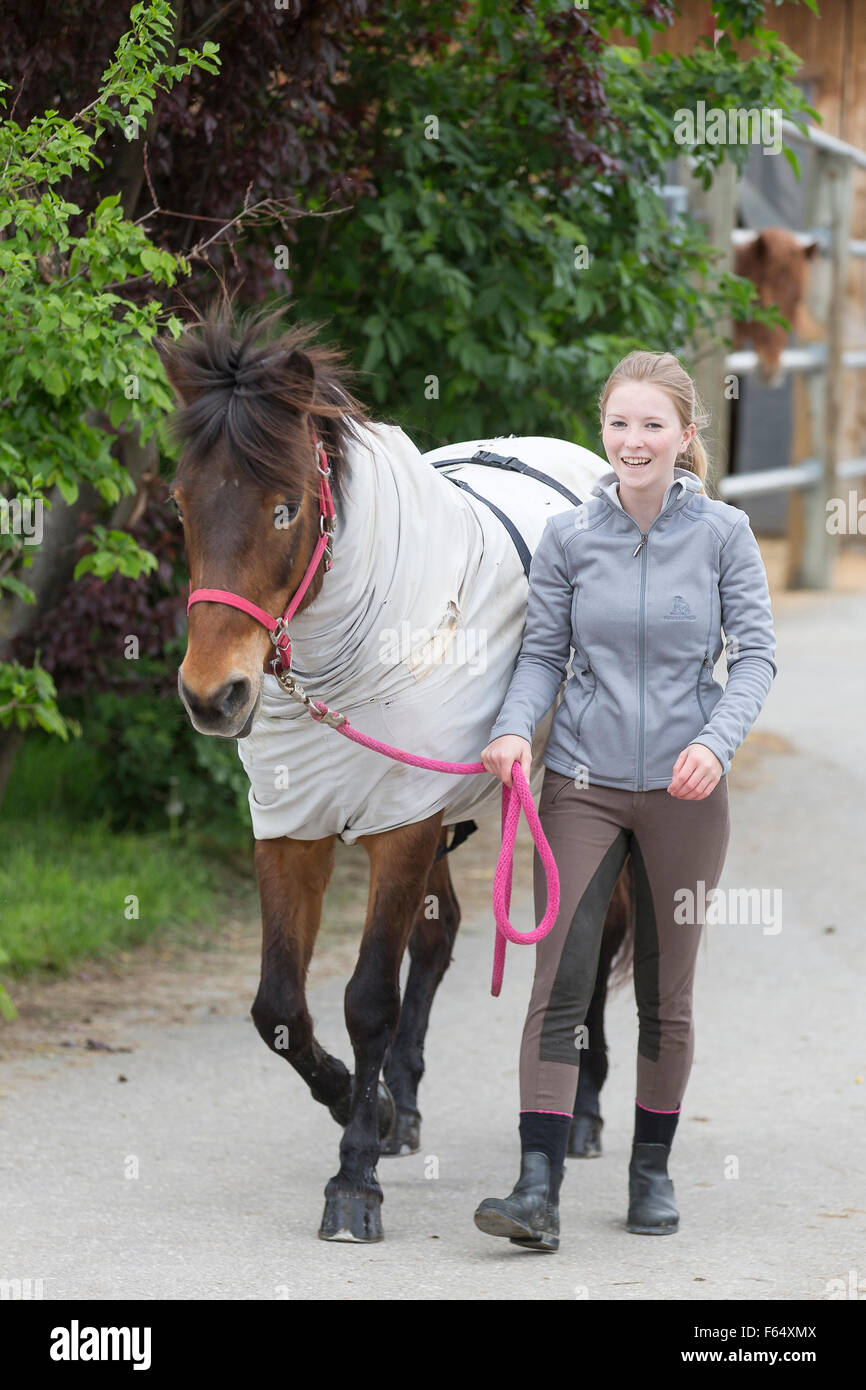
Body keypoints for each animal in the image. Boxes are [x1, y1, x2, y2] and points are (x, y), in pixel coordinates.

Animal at [158, 304, 635, 1243]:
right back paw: (403, 1103)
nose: (213, 695)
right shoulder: (299, 824)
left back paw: (589, 1111)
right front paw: (367, 1106)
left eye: (284, 508)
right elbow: (278, 1007)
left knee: (592, 934)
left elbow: (367, 999)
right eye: (182, 506)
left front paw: (354, 1182)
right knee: (441, 933)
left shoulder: (402, 824)